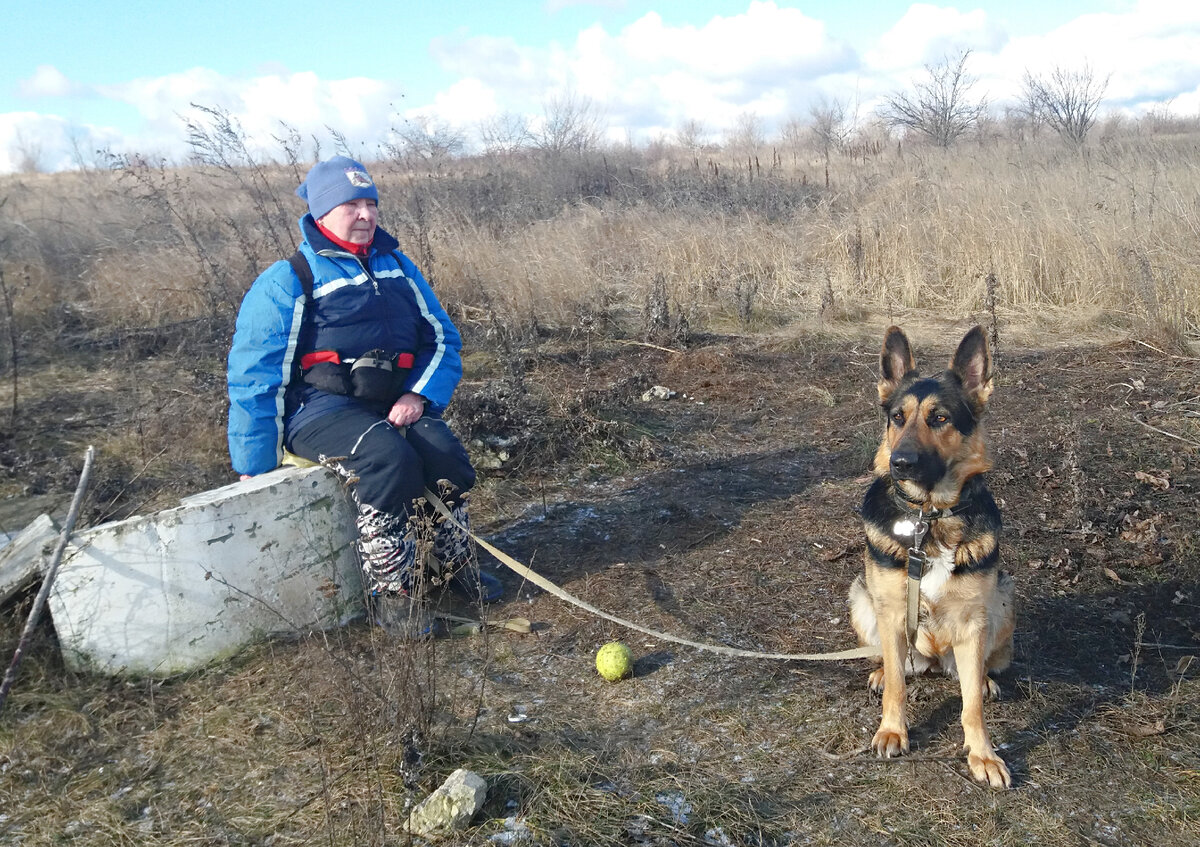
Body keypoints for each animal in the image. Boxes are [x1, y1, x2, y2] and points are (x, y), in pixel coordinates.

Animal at [854, 323, 1012, 787]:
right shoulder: (890, 612)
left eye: (939, 418)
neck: (930, 518)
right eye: (897, 417)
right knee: (896, 666)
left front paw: (983, 754)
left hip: (1003, 600)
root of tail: (937, 661)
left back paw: (984, 681)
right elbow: (896, 688)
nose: (901, 463)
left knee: (977, 670)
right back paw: (880, 671)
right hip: (862, 598)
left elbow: (971, 707)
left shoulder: (973, 620)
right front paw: (892, 731)